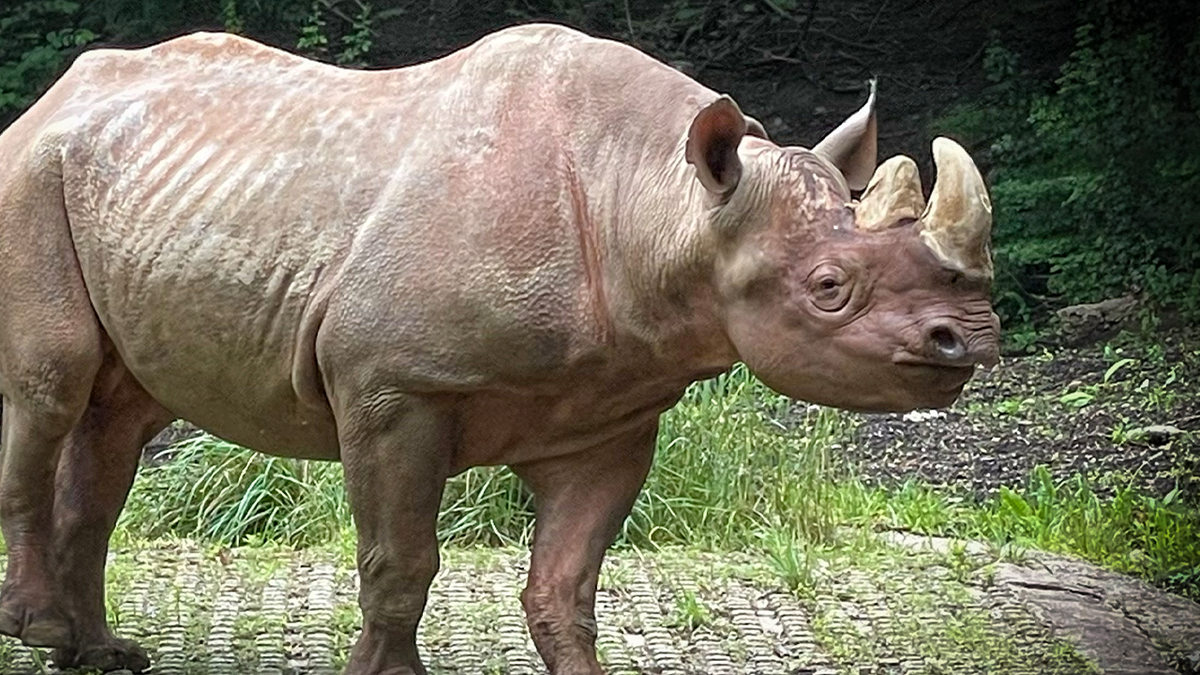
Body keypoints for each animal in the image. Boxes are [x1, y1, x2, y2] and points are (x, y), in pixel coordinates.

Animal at [0, 23, 999, 675]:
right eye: (829, 289)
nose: (976, 338)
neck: (659, 200)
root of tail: (47, 102)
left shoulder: (612, 410)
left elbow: (567, 586)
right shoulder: (393, 385)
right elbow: (400, 563)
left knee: (118, 417)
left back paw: (100, 655)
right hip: (27, 179)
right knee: (51, 388)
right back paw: (42, 633)